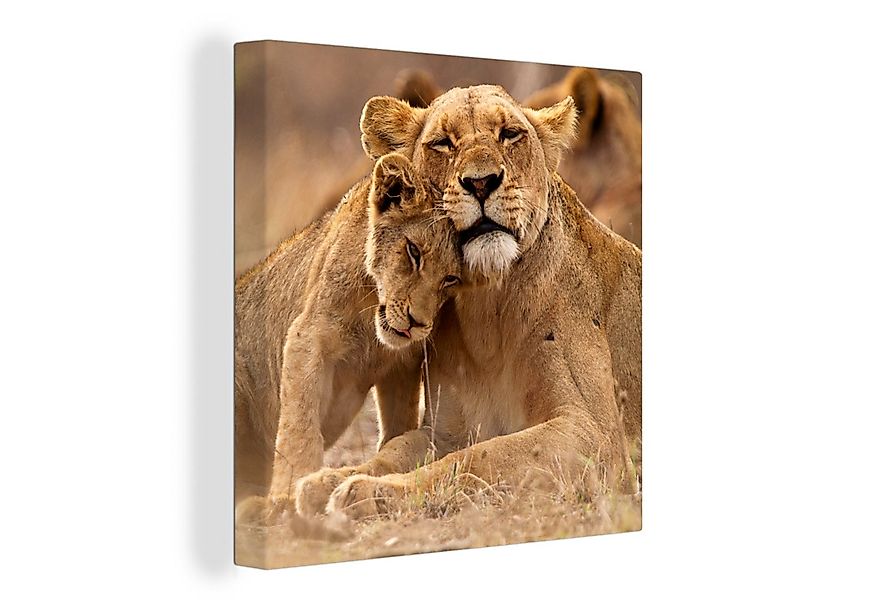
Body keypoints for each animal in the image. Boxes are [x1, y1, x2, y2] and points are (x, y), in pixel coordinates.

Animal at [234, 153, 463, 522]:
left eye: (451, 278)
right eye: (413, 252)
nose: (417, 323)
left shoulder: (403, 363)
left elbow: (399, 421)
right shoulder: (306, 337)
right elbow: (299, 427)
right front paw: (286, 496)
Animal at [295, 85, 642, 520]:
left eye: (510, 134)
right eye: (443, 143)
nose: (481, 183)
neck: (486, 310)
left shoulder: (597, 436)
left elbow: (481, 457)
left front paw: (368, 492)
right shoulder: (447, 430)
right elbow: (398, 448)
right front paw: (328, 480)